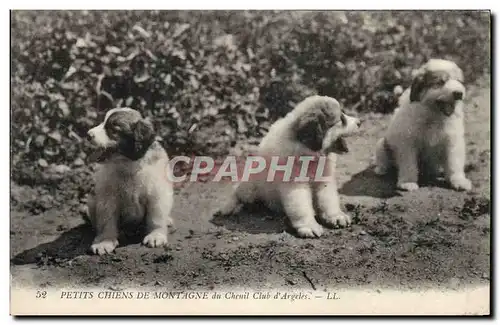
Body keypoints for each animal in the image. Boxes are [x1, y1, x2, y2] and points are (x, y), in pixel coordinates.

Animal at [85, 107, 173, 254]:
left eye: (113, 130)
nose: (88, 134)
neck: (128, 164)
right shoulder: (107, 197)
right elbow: (106, 220)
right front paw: (105, 241)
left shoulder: (157, 193)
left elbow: (156, 216)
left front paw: (156, 235)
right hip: (92, 199)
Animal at [217, 95, 362, 237]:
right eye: (341, 119)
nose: (360, 122)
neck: (309, 155)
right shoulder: (294, 185)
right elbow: (301, 206)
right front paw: (309, 226)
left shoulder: (324, 179)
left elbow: (328, 199)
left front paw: (336, 216)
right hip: (250, 184)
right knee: (237, 193)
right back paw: (233, 206)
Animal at [376, 58, 472, 191]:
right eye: (440, 82)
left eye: (459, 81)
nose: (459, 93)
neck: (434, 114)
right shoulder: (407, 143)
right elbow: (408, 164)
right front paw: (408, 182)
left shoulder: (453, 141)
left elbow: (454, 162)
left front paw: (458, 181)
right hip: (381, 144)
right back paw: (381, 170)